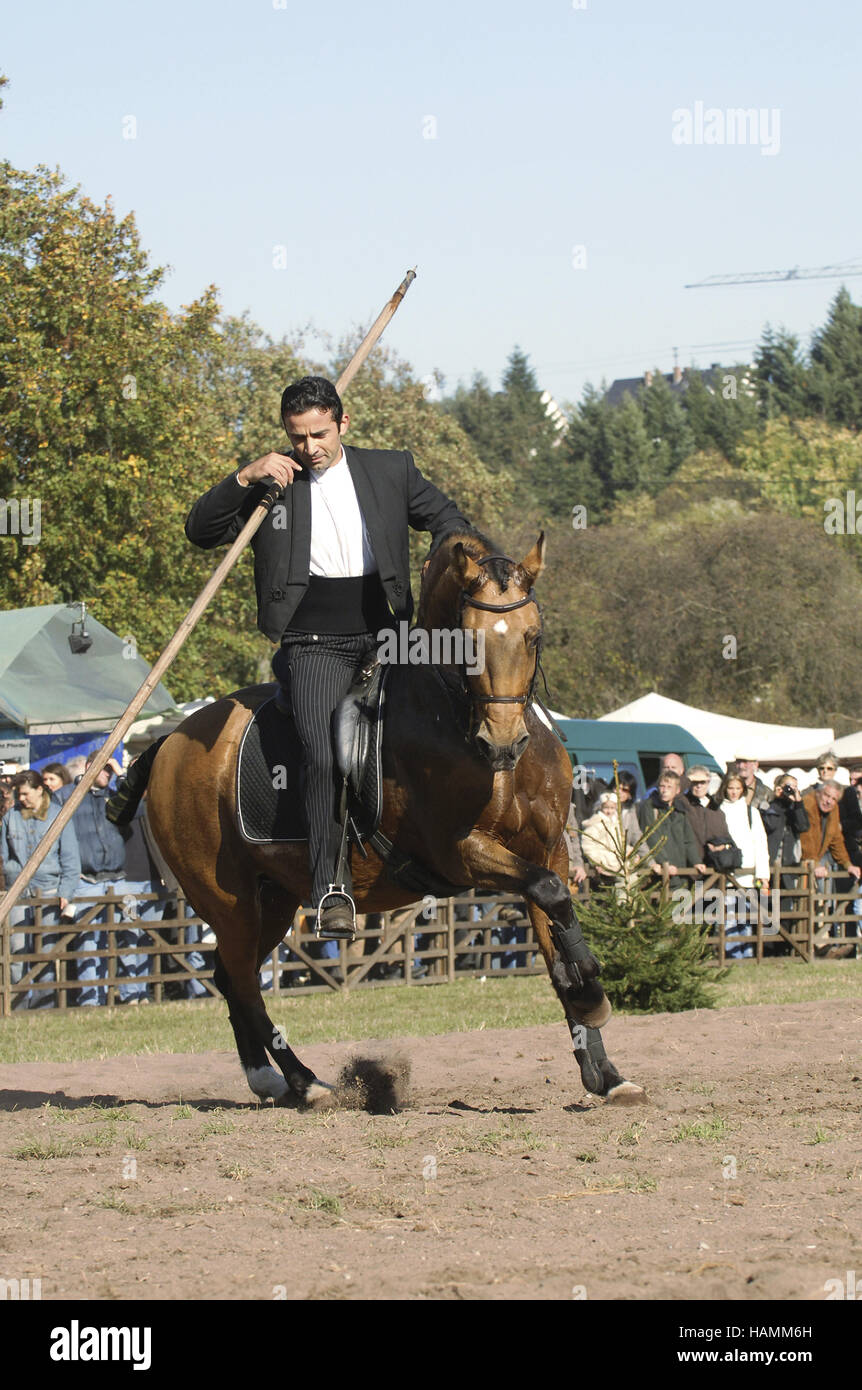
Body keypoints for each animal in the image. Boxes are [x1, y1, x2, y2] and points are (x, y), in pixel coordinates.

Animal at [141, 530, 639, 1106]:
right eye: (466, 643)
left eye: (533, 636)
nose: (503, 744)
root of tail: (169, 742)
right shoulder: (461, 853)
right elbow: (552, 896)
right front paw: (593, 994)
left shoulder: (549, 849)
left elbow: (556, 932)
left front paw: (604, 1068)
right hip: (229, 903)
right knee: (242, 981)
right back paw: (302, 1081)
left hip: (274, 900)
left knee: (229, 975)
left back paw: (268, 1078)